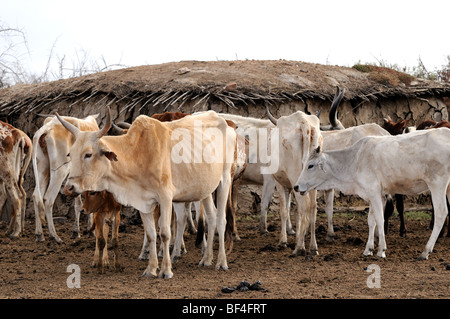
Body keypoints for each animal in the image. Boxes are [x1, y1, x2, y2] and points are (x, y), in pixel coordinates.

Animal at [31, 114, 99, 242]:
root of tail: (48, 127)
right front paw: (90, 231)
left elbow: (78, 204)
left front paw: (76, 232)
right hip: (60, 170)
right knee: (48, 199)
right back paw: (55, 236)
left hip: (43, 167)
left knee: (36, 195)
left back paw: (39, 234)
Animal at [55, 109, 237, 278]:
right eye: (70, 154)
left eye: (88, 154)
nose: (69, 187)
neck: (138, 153)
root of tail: (224, 121)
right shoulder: (143, 202)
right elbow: (151, 235)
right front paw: (151, 269)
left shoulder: (165, 198)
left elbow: (164, 233)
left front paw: (166, 270)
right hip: (205, 189)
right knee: (211, 218)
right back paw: (206, 259)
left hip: (225, 180)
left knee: (221, 220)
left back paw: (221, 262)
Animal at [296, 129, 450, 262]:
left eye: (310, 165)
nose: (296, 187)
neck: (355, 160)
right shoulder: (375, 195)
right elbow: (371, 221)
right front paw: (368, 249)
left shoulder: (375, 192)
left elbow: (380, 220)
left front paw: (381, 250)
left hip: (437, 184)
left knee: (441, 213)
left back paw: (425, 251)